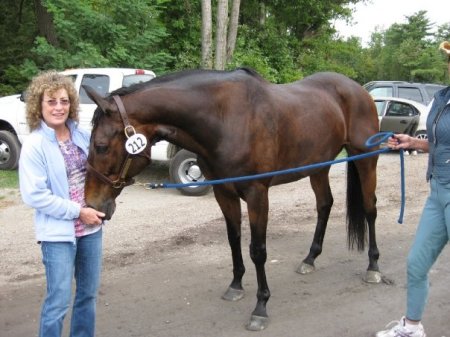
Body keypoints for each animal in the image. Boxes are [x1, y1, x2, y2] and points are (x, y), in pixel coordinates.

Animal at [83, 67, 380, 330]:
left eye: (101, 146)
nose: (93, 205)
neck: (225, 120)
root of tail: (359, 90)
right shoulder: (223, 192)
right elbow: (233, 239)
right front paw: (236, 286)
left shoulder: (257, 194)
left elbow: (257, 250)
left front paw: (261, 307)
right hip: (318, 167)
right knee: (324, 205)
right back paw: (310, 259)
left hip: (365, 159)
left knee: (369, 209)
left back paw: (373, 266)